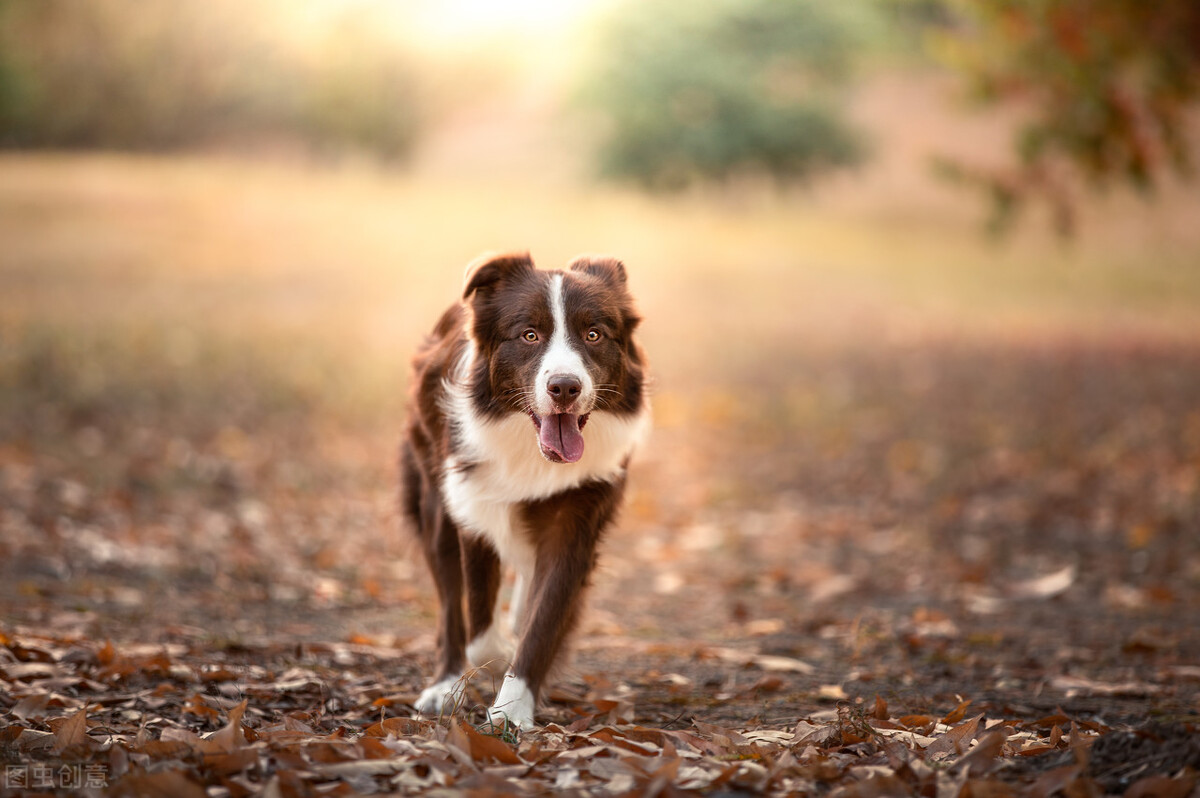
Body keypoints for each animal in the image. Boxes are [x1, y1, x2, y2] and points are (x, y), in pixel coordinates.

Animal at [400, 250, 648, 729]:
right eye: (529, 335)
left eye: (594, 334)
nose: (565, 387)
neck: (532, 450)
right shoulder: (474, 501)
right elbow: (477, 620)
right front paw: (496, 655)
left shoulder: (578, 515)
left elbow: (545, 616)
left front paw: (512, 711)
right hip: (433, 496)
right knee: (451, 606)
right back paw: (444, 686)